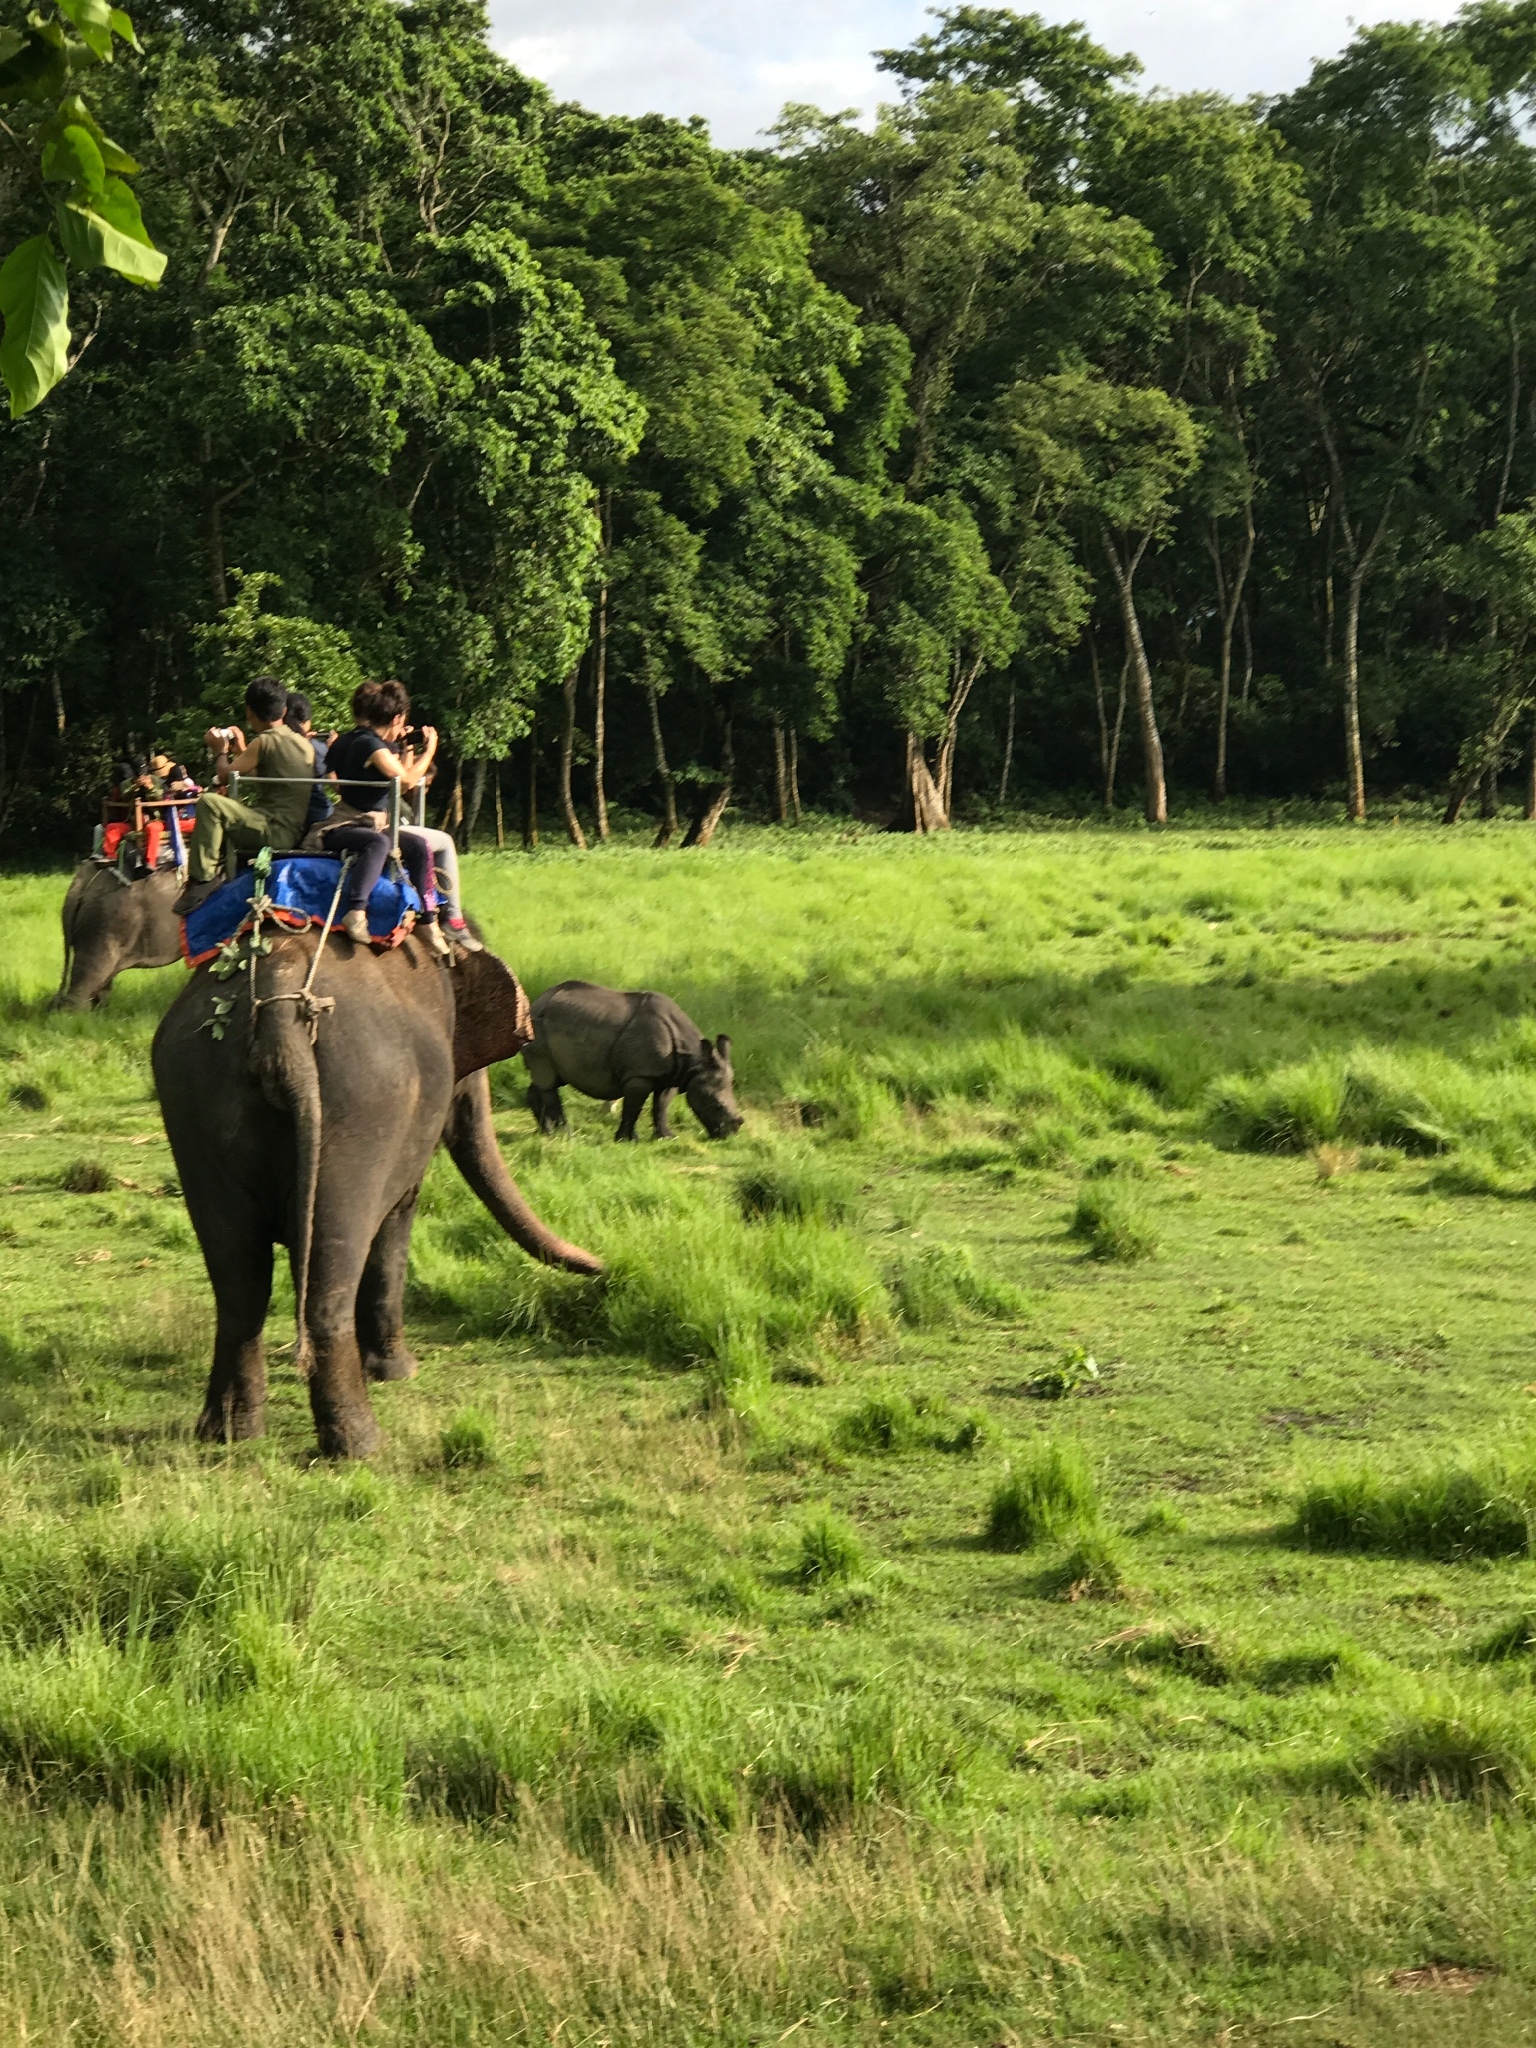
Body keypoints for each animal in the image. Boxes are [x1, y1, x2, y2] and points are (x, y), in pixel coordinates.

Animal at [154, 921, 602, 1466]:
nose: (604, 1266)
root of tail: (281, 1008)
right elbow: (398, 1218)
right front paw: (399, 1372)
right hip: (361, 1111)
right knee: (330, 1272)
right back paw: (361, 1445)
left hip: (195, 1096)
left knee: (238, 1282)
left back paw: (228, 1432)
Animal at [528, 978, 749, 1146]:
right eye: (715, 1103)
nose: (728, 1135)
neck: (695, 1062)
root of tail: (537, 1001)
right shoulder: (640, 1074)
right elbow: (633, 1107)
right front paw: (627, 1140)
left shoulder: (671, 1075)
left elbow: (661, 1106)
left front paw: (667, 1137)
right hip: (538, 1024)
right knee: (548, 1081)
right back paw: (565, 1134)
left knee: (547, 1079)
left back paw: (545, 1132)